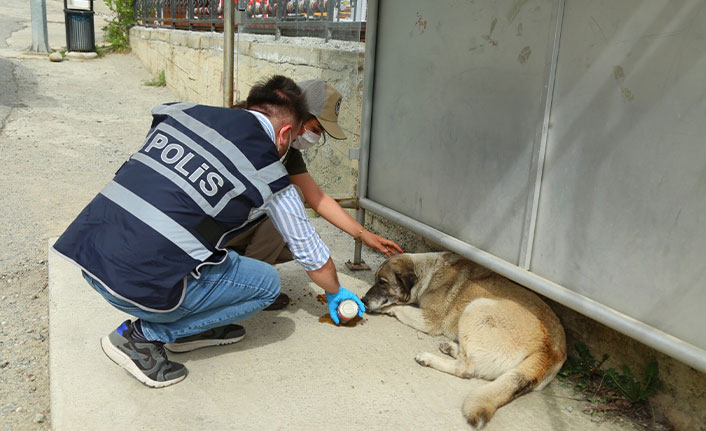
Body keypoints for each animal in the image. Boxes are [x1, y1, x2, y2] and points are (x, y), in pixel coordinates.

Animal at [364, 253, 568, 428]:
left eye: (382, 282)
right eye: (375, 280)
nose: (364, 300)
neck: (429, 273)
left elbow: (399, 307)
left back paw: (428, 358)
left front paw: (381, 308)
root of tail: (549, 350)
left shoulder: (430, 320)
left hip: (476, 308)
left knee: (467, 369)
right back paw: (450, 347)